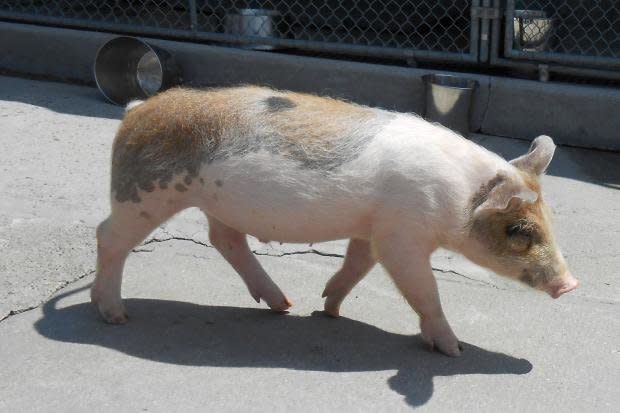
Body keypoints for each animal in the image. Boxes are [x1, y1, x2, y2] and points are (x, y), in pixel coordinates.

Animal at [91, 84, 576, 354]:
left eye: (548, 219)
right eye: (519, 229)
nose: (570, 285)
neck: (458, 197)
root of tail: (136, 109)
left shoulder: (375, 229)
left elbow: (358, 264)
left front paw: (330, 309)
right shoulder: (403, 235)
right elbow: (424, 290)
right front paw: (454, 351)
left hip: (214, 203)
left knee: (225, 239)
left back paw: (284, 305)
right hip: (144, 194)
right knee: (108, 236)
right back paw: (115, 317)